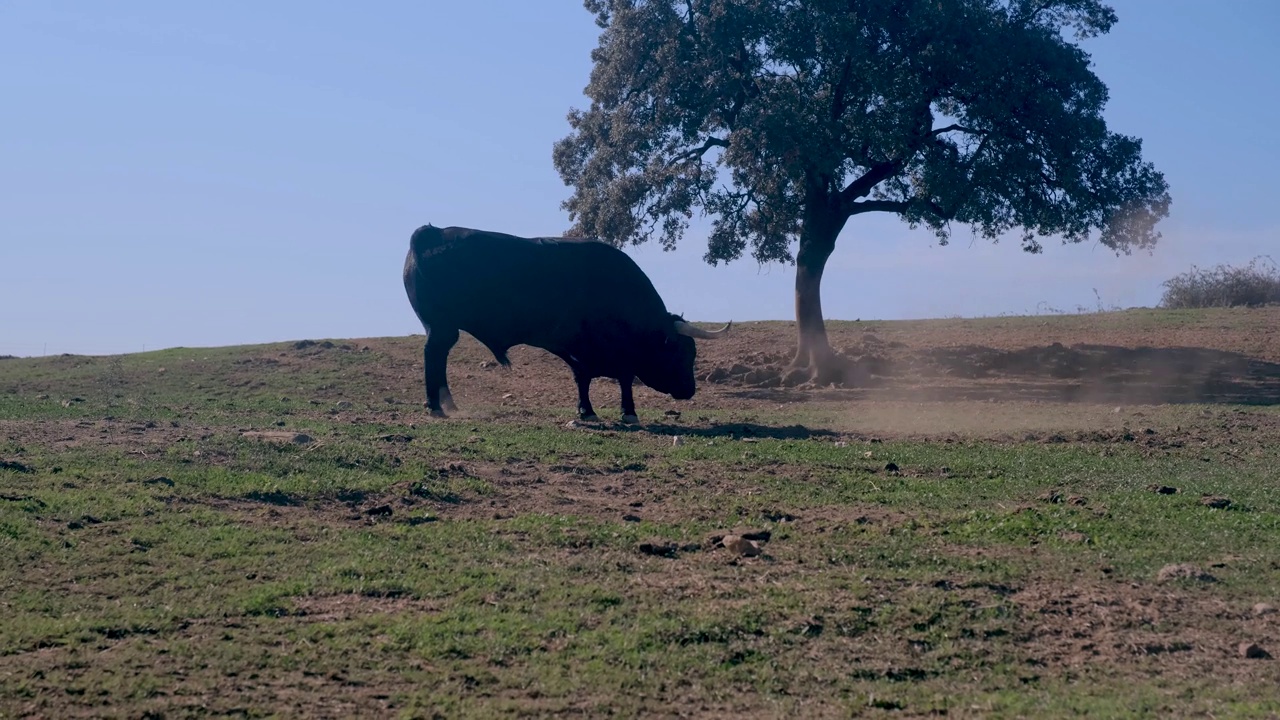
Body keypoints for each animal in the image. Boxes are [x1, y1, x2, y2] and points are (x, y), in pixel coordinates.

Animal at [399, 224, 732, 420]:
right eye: (681, 353)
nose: (690, 390)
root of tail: (432, 232)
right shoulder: (592, 349)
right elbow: (619, 378)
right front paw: (625, 412)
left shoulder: (580, 349)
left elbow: (585, 379)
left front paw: (587, 411)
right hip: (441, 327)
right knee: (433, 355)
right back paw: (436, 406)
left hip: (441, 327)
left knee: (439, 357)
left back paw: (447, 403)